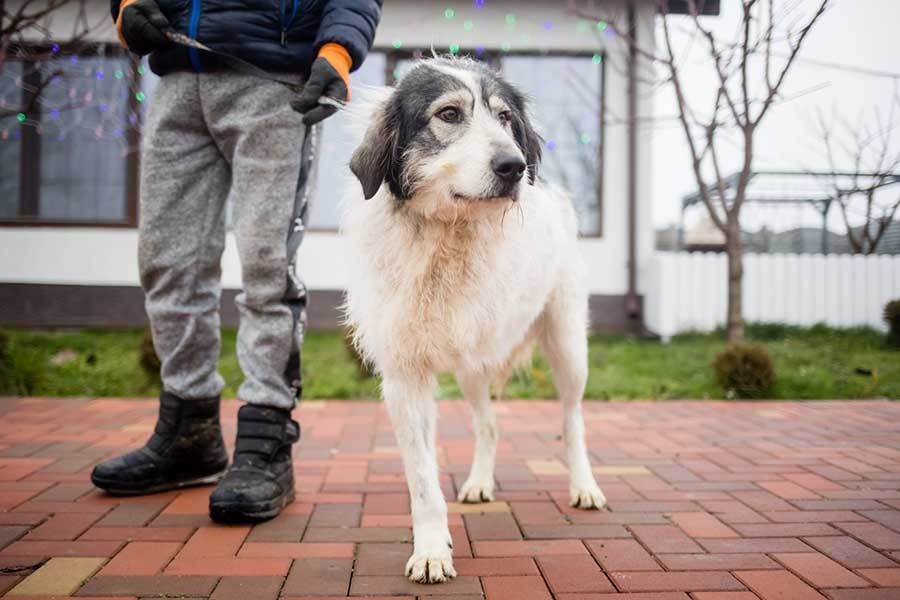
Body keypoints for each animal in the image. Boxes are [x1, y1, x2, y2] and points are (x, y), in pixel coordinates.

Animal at [342, 56, 608, 580]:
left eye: (505, 118)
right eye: (448, 114)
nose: (514, 166)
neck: (449, 235)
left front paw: (431, 549)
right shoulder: (405, 377)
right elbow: (423, 479)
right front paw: (431, 549)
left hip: (568, 348)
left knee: (573, 420)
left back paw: (584, 486)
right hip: (473, 367)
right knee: (489, 425)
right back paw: (480, 483)